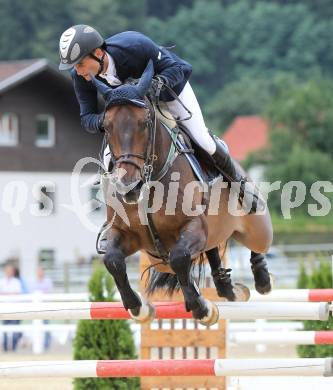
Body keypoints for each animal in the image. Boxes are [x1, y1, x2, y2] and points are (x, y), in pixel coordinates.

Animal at [91, 61, 272, 326]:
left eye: (145, 122)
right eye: (106, 126)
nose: (129, 187)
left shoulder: (192, 226)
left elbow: (179, 257)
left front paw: (201, 308)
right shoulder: (125, 233)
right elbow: (112, 260)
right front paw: (139, 307)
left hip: (256, 229)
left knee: (257, 245)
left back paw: (261, 278)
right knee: (212, 251)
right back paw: (228, 287)